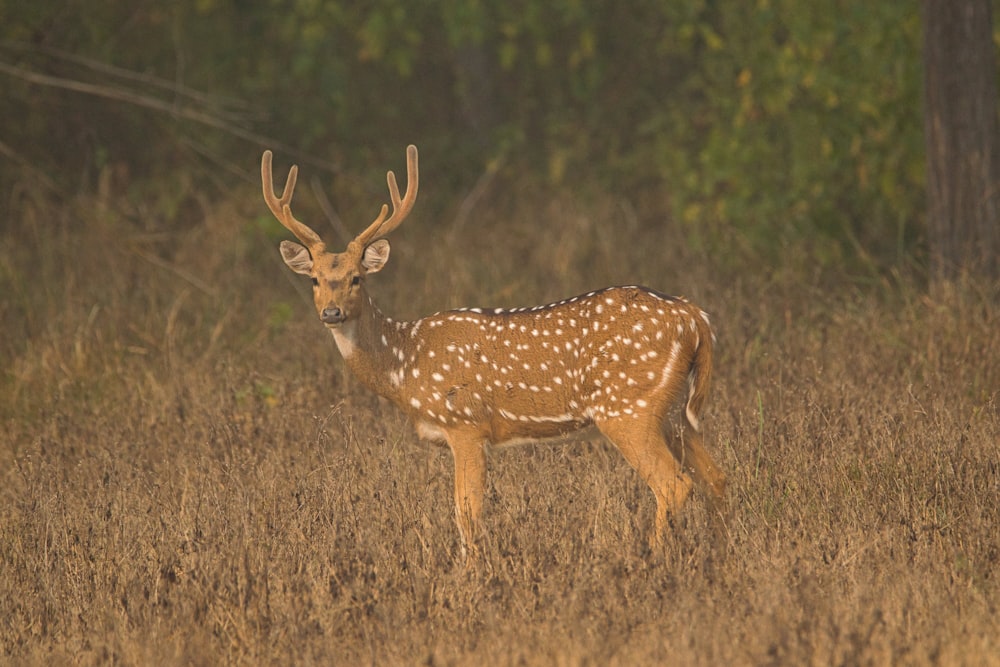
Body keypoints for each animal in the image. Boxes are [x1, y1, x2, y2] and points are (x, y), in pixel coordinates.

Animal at [262, 145, 724, 560]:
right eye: (315, 279)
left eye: (357, 278)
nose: (332, 312)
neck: (404, 364)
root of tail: (693, 316)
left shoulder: (466, 423)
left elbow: (466, 514)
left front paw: (472, 576)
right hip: (674, 412)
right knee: (717, 479)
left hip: (628, 408)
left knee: (674, 485)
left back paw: (653, 560)